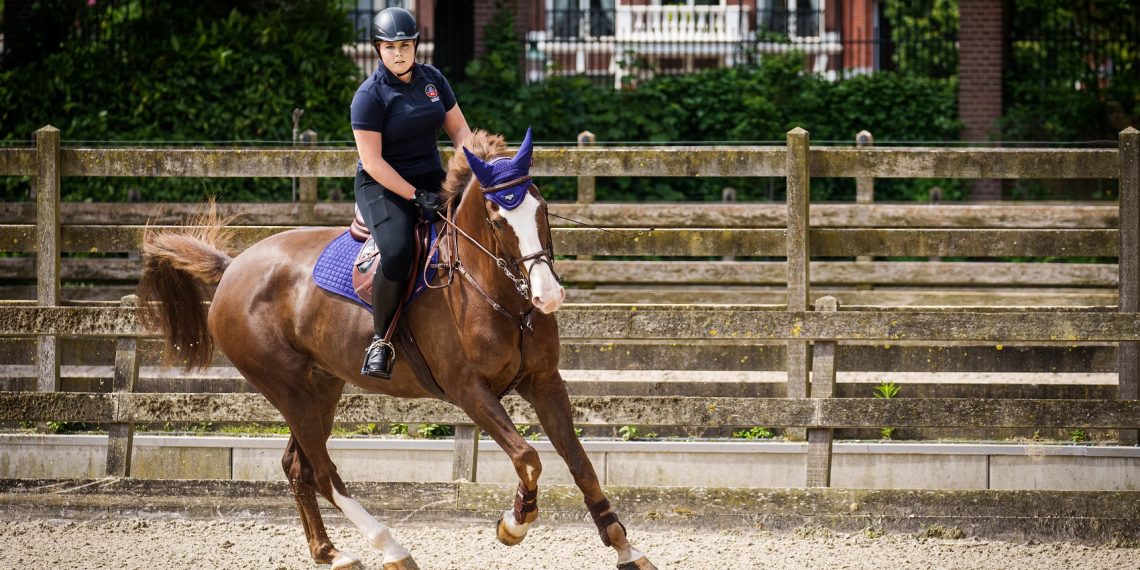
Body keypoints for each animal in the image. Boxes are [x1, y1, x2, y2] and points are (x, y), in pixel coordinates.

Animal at [137, 129, 657, 570]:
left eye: (541, 207)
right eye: (496, 219)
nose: (547, 295)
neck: (496, 295)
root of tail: (232, 269)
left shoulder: (544, 382)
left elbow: (580, 463)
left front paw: (625, 548)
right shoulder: (469, 391)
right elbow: (528, 457)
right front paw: (514, 523)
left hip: (320, 386)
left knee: (298, 466)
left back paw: (331, 553)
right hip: (285, 386)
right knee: (321, 471)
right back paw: (391, 548)